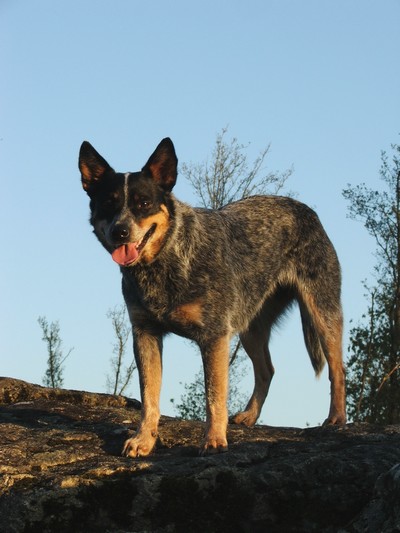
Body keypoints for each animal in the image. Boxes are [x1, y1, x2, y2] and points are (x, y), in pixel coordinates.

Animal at [79, 136, 346, 454]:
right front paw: (144, 439)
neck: (167, 261)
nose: (120, 231)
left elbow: (214, 395)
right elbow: (149, 396)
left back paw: (336, 418)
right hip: (250, 328)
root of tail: (306, 210)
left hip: (322, 313)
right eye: (109, 203)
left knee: (337, 369)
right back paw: (249, 416)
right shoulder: (145, 334)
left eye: (143, 203)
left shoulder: (214, 336)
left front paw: (215, 440)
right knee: (267, 370)